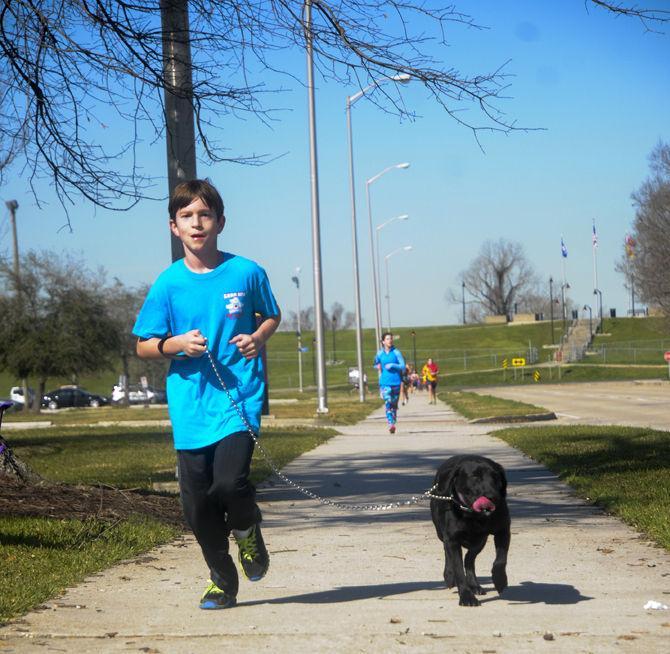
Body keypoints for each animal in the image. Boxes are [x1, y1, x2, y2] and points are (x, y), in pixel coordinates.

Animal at [434, 456, 512, 604]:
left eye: (496, 477)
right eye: (475, 476)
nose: (492, 496)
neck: (474, 516)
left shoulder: (503, 531)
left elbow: (500, 560)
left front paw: (500, 580)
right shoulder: (452, 539)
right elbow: (458, 569)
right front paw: (466, 596)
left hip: (480, 541)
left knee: (469, 559)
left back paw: (475, 585)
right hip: (442, 534)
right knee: (448, 553)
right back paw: (449, 575)